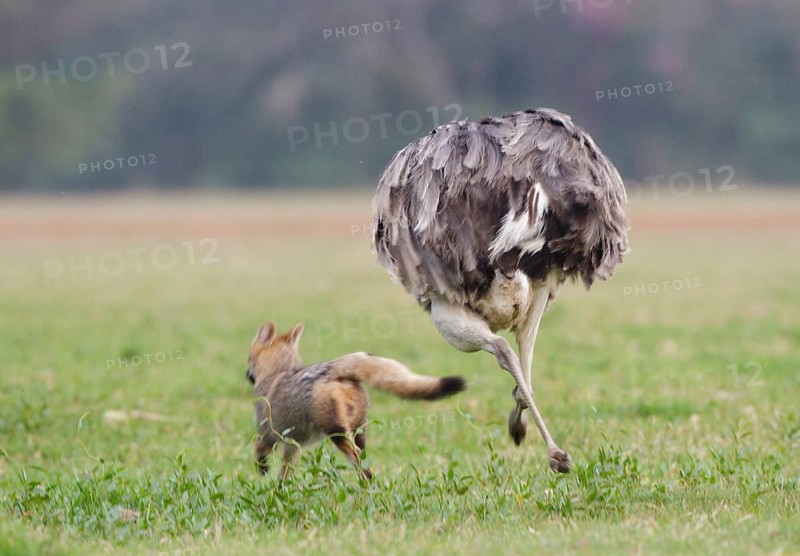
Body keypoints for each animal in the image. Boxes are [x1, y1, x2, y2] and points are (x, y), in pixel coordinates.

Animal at [246, 320, 466, 480]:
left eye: (249, 359)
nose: (247, 375)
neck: (279, 372)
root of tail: (334, 368)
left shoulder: (268, 436)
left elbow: (258, 451)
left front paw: (263, 474)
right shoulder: (292, 446)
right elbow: (284, 475)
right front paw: (280, 489)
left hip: (338, 436)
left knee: (362, 467)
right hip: (359, 433)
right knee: (365, 462)